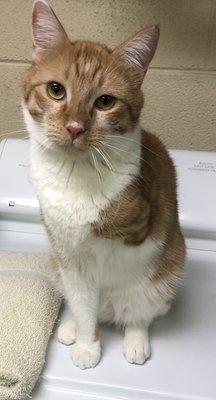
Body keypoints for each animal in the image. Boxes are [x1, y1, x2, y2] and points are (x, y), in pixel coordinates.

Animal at [23, 0, 186, 368]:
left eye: (105, 101)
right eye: (56, 90)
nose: (74, 127)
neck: (74, 173)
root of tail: (112, 310)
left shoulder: (139, 225)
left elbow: (108, 219)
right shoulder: (69, 260)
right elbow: (84, 308)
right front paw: (87, 344)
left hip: (162, 277)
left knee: (138, 317)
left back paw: (136, 343)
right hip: (58, 272)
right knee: (86, 308)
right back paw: (70, 327)